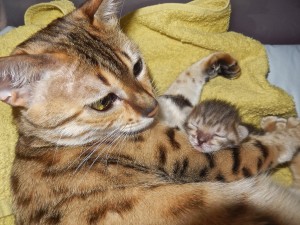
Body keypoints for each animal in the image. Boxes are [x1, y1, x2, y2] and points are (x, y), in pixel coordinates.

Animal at [0, 0, 300, 225]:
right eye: (102, 103)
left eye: (137, 67)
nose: (150, 107)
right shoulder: (196, 157)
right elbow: (257, 150)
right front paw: (289, 133)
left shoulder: (169, 107)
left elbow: (181, 89)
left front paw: (216, 62)